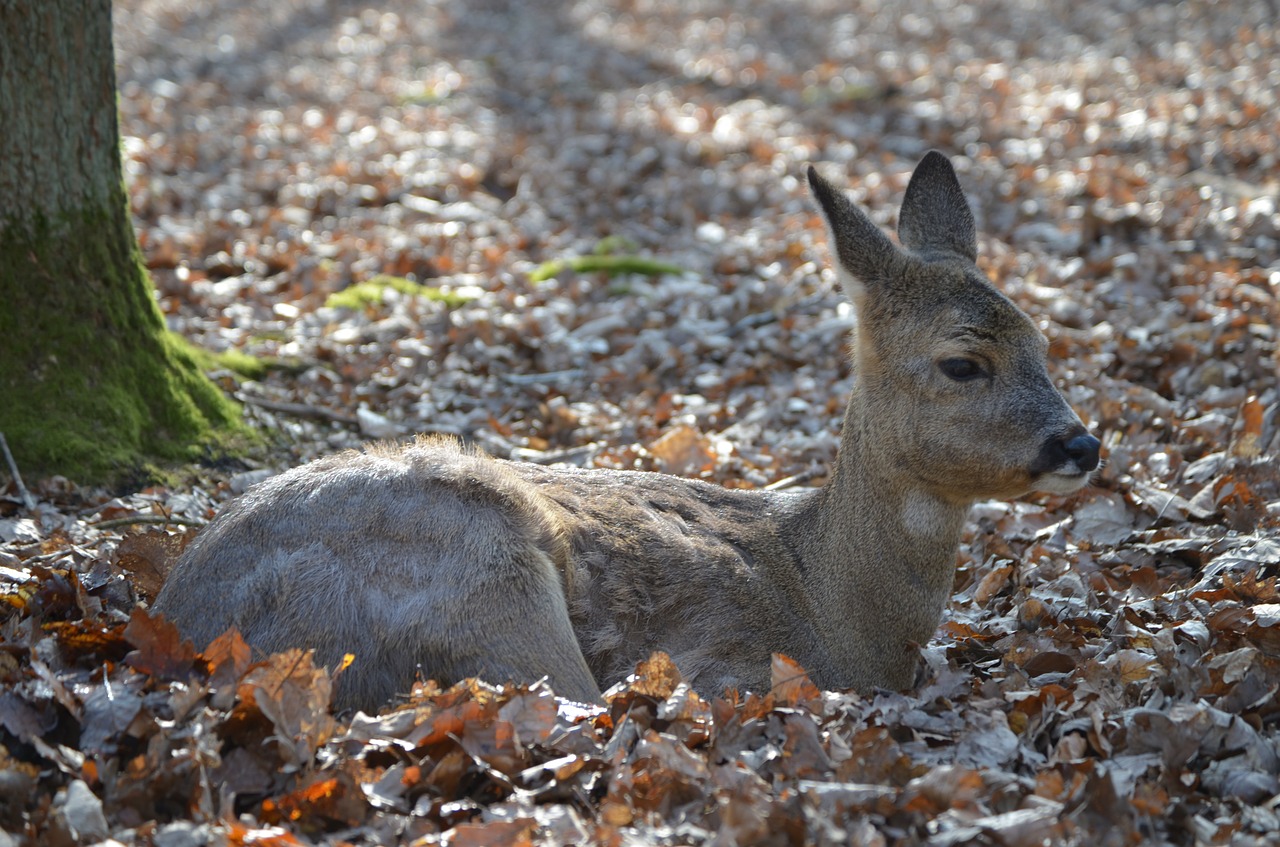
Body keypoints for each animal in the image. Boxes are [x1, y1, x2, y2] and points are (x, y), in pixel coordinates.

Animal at [154, 154, 1100, 716]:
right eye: (962, 362)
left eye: (1045, 339)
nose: (1081, 445)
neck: (835, 607)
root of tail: (178, 618)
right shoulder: (725, 659)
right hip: (490, 582)